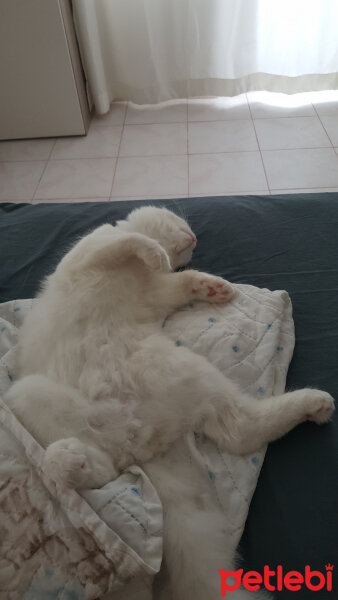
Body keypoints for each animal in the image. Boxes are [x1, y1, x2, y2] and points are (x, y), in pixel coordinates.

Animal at [3, 206, 334, 600]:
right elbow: (130, 241)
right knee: (237, 431)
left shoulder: (157, 293)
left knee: (114, 470)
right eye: (184, 226)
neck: (140, 275)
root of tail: (139, 436)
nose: (194, 238)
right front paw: (156, 253)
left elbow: (181, 281)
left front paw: (212, 286)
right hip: (32, 393)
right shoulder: (92, 252)